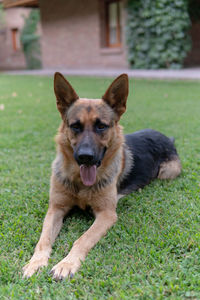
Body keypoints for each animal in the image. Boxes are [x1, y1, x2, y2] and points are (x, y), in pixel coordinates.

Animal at [22, 74, 182, 280]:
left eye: (101, 126)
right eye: (75, 126)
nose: (86, 157)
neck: (80, 184)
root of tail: (166, 138)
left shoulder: (107, 214)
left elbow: (82, 239)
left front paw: (66, 264)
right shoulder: (56, 209)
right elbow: (43, 240)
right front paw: (36, 263)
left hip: (166, 174)